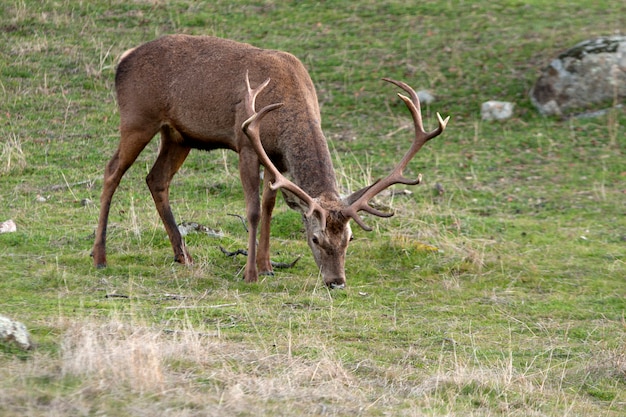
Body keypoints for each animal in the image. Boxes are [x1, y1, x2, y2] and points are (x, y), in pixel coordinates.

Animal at [90, 34, 446, 288]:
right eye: (315, 238)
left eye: (349, 238)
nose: (337, 282)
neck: (289, 105)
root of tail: (122, 59)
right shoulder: (247, 143)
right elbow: (252, 210)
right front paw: (249, 273)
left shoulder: (278, 160)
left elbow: (270, 205)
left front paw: (267, 265)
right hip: (138, 117)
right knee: (111, 172)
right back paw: (99, 255)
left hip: (178, 136)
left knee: (156, 178)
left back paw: (183, 256)